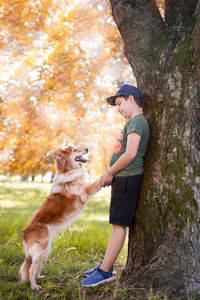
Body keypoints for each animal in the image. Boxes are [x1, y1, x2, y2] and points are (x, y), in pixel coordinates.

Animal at [19, 146, 101, 290]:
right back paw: (34, 286)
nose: (87, 148)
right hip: (42, 250)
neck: (70, 171)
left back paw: (39, 277)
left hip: (45, 250)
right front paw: (108, 175)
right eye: (75, 150)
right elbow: (96, 182)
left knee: (37, 266)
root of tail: (24, 233)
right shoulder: (85, 193)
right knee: (31, 268)